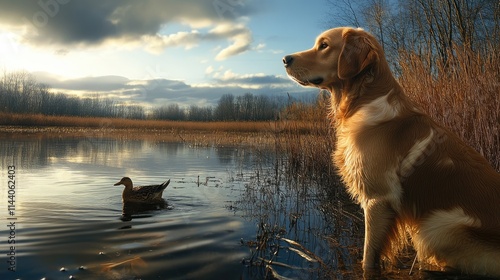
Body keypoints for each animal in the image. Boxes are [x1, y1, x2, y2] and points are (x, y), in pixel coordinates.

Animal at [284, 27, 500, 276]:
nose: (285, 59)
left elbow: (369, 255)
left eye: (324, 45)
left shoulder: (378, 199)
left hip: (438, 227)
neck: (362, 100)